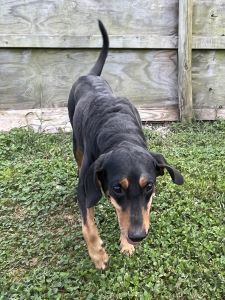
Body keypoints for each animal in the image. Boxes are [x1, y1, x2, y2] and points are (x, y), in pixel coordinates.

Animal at [67, 21, 183, 270]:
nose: (137, 236)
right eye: (117, 187)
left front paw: (126, 244)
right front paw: (98, 255)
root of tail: (89, 75)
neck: (120, 133)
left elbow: (127, 214)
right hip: (75, 141)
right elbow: (88, 226)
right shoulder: (88, 188)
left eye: (149, 186)